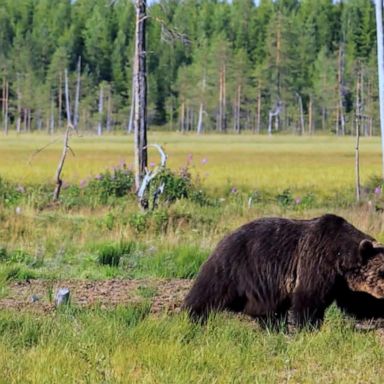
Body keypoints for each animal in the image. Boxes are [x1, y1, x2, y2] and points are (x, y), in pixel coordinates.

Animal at [182, 214, 384, 328]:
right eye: (382, 272)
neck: (340, 257)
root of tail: (223, 238)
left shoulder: (343, 283)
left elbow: (359, 304)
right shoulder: (315, 261)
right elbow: (308, 298)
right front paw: (308, 326)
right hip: (233, 267)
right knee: (208, 292)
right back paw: (191, 315)